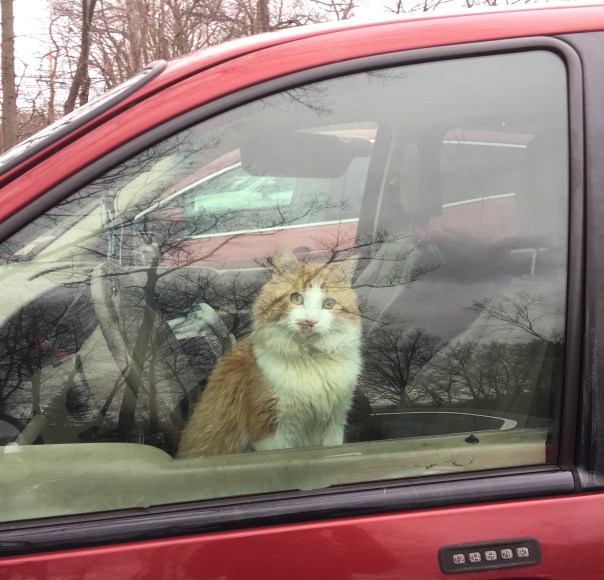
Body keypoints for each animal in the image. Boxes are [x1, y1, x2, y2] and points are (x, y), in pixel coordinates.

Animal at [177, 246, 362, 458]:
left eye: (329, 304)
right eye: (296, 298)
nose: (309, 321)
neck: (310, 359)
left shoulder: (335, 423)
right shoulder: (270, 429)